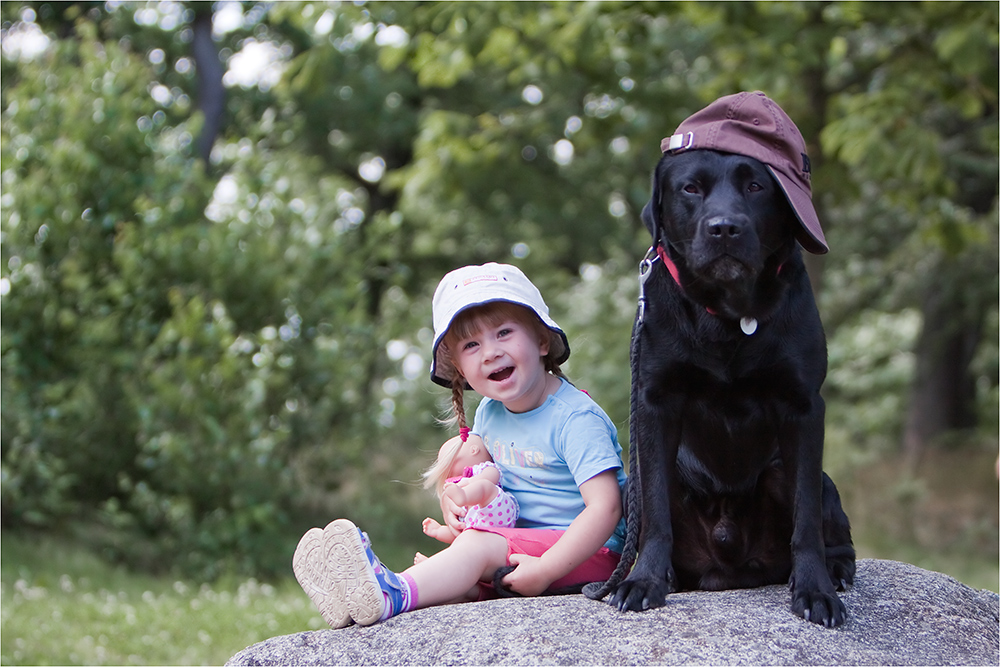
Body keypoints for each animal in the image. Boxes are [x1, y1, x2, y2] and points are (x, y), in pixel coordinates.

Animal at [596, 92, 856, 628]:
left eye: (756, 186)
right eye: (690, 188)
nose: (724, 228)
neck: (729, 315)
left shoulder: (804, 407)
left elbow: (805, 520)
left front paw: (816, 591)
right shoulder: (655, 403)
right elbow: (656, 515)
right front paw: (644, 581)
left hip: (804, 478)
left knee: (829, 526)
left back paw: (836, 570)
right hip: (641, 487)